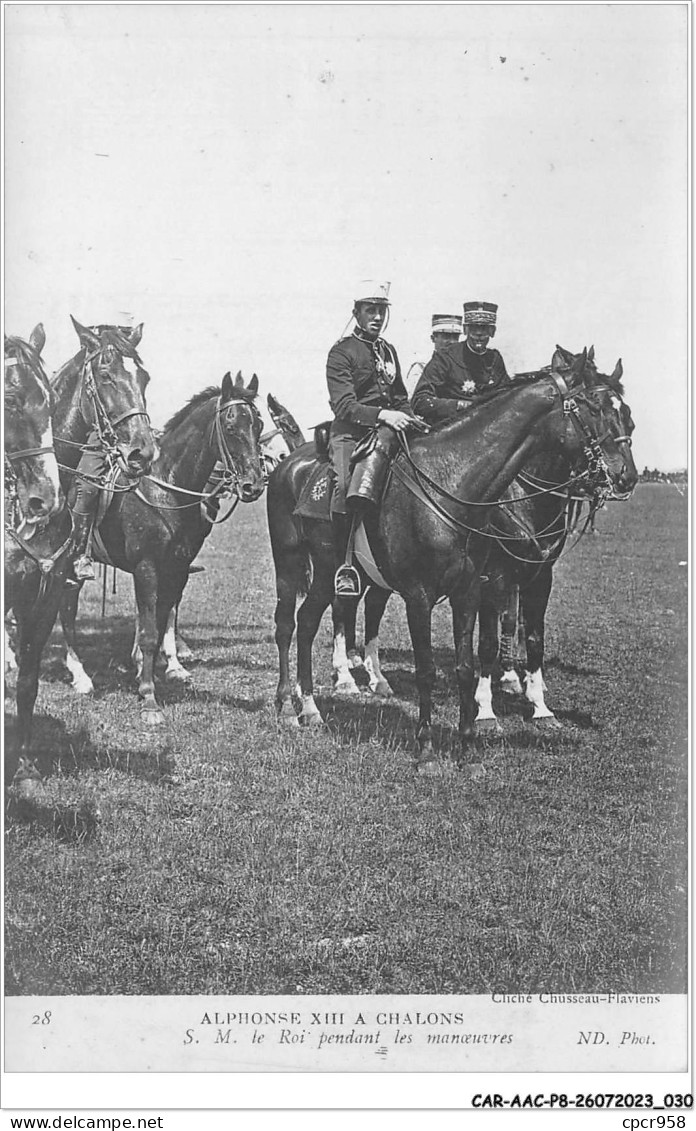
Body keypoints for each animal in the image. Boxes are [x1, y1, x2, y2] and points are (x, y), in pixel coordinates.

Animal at [58, 370, 267, 723]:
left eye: (259, 425)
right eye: (231, 427)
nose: (253, 485)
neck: (167, 489)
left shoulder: (177, 569)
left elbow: (161, 621)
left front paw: (157, 672)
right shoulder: (147, 568)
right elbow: (148, 632)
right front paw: (148, 698)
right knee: (66, 609)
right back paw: (79, 676)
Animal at [269, 343, 638, 769]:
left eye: (626, 411)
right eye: (593, 406)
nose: (626, 476)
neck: (453, 483)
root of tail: (288, 462)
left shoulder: (484, 586)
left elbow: (482, 658)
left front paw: (474, 743)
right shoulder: (427, 594)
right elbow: (434, 666)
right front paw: (432, 746)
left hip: (334, 573)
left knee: (309, 622)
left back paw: (314, 706)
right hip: (291, 565)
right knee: (288, 624)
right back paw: (291, 702)